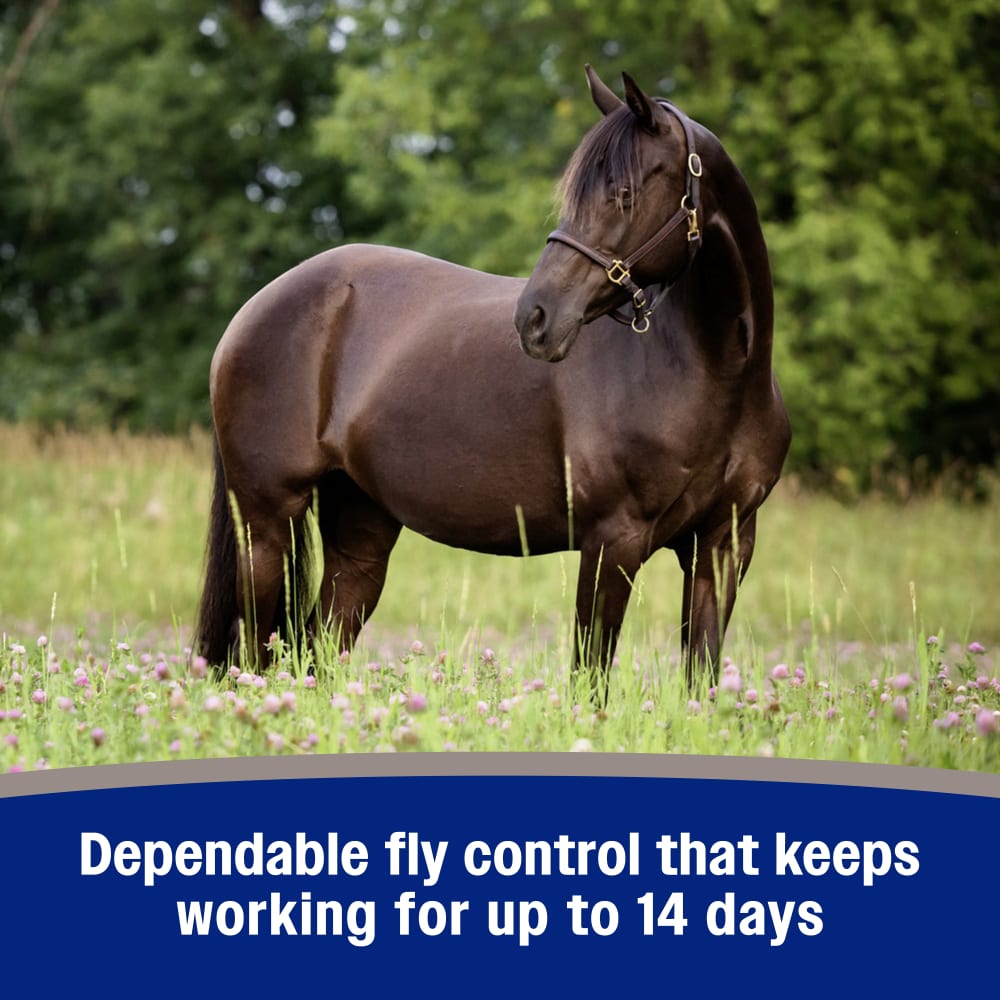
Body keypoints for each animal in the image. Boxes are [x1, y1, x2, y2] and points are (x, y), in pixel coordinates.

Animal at [195, 66, 790, 695]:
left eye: (625, 194)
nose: (536, 318)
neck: (716, 374)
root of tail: (253, 310)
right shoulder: (614, 539)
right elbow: (590, 678)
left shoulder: (723, 546)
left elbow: (702, 673)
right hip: (266, 524)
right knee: (255, 651)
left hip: (360, 528)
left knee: (321, 647)